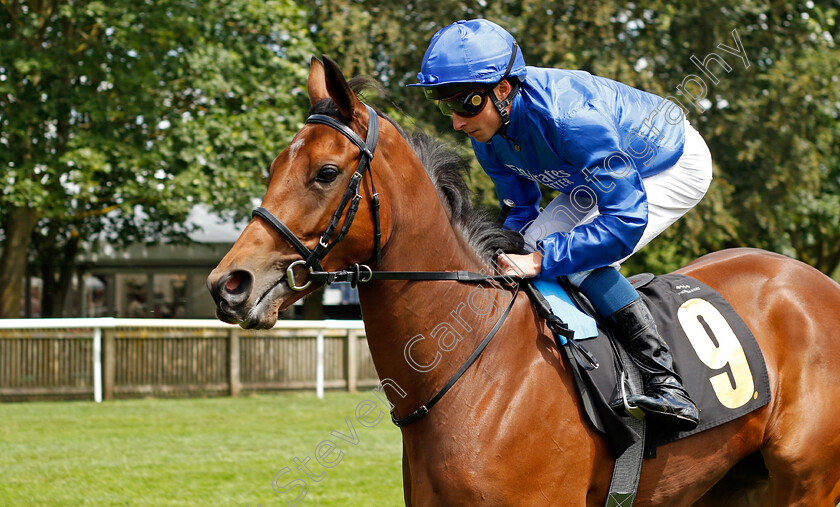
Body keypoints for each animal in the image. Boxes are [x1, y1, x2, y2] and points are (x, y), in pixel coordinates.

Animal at [208, 57, 840, 506]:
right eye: (274, 167)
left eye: (325, 172)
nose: (229, 283)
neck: (472, 370)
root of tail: (817, 283)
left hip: (806, 482)